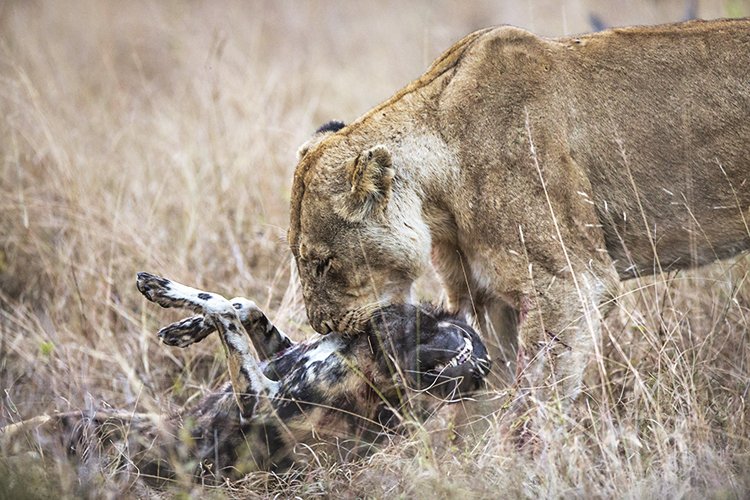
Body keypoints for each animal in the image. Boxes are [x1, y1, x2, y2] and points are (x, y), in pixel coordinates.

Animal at [0, 274, 490, 484]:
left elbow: (219, 304)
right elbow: (244, 305)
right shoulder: (278, 355)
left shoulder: (255, 397)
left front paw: (165, 290)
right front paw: (185, 328)